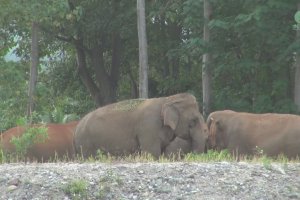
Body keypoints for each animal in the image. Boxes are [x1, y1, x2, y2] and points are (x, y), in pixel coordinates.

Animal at [74, 93, 207, 159]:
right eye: (193, 121)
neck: (167, 100)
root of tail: (76, 127)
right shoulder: (148, 127)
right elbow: (152, 154)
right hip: (86, 144)